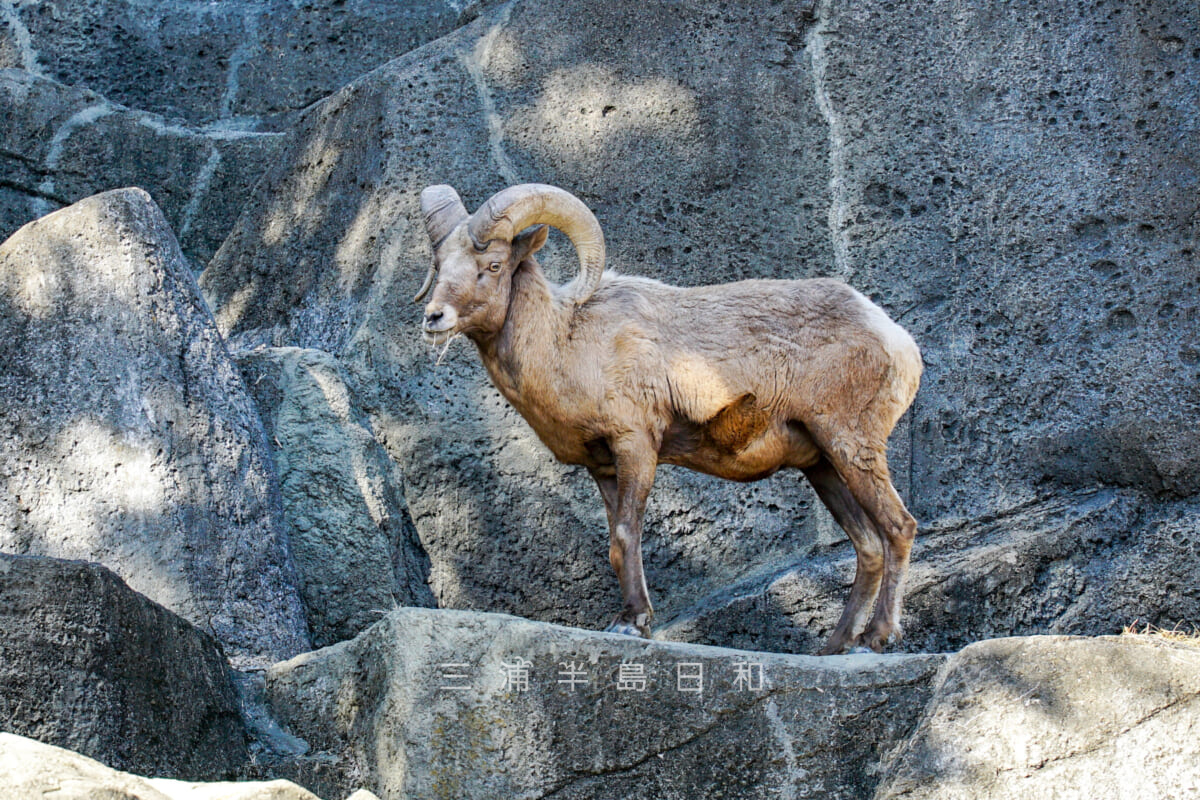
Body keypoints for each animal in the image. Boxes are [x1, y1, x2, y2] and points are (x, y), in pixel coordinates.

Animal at [417, 184, 921, 652]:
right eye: (440, 267)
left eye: (493, 265)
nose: (434, 318)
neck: (568, 342)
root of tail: (895, 339)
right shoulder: (603, 467)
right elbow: (618, 543)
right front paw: (632, 617)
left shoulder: (636, 445)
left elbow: (626, 535)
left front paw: (632, 623)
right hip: (822, 466)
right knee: (868, 546)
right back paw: (835, 647)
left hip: (850, 445)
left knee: (898, 528)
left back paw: (875, 638)